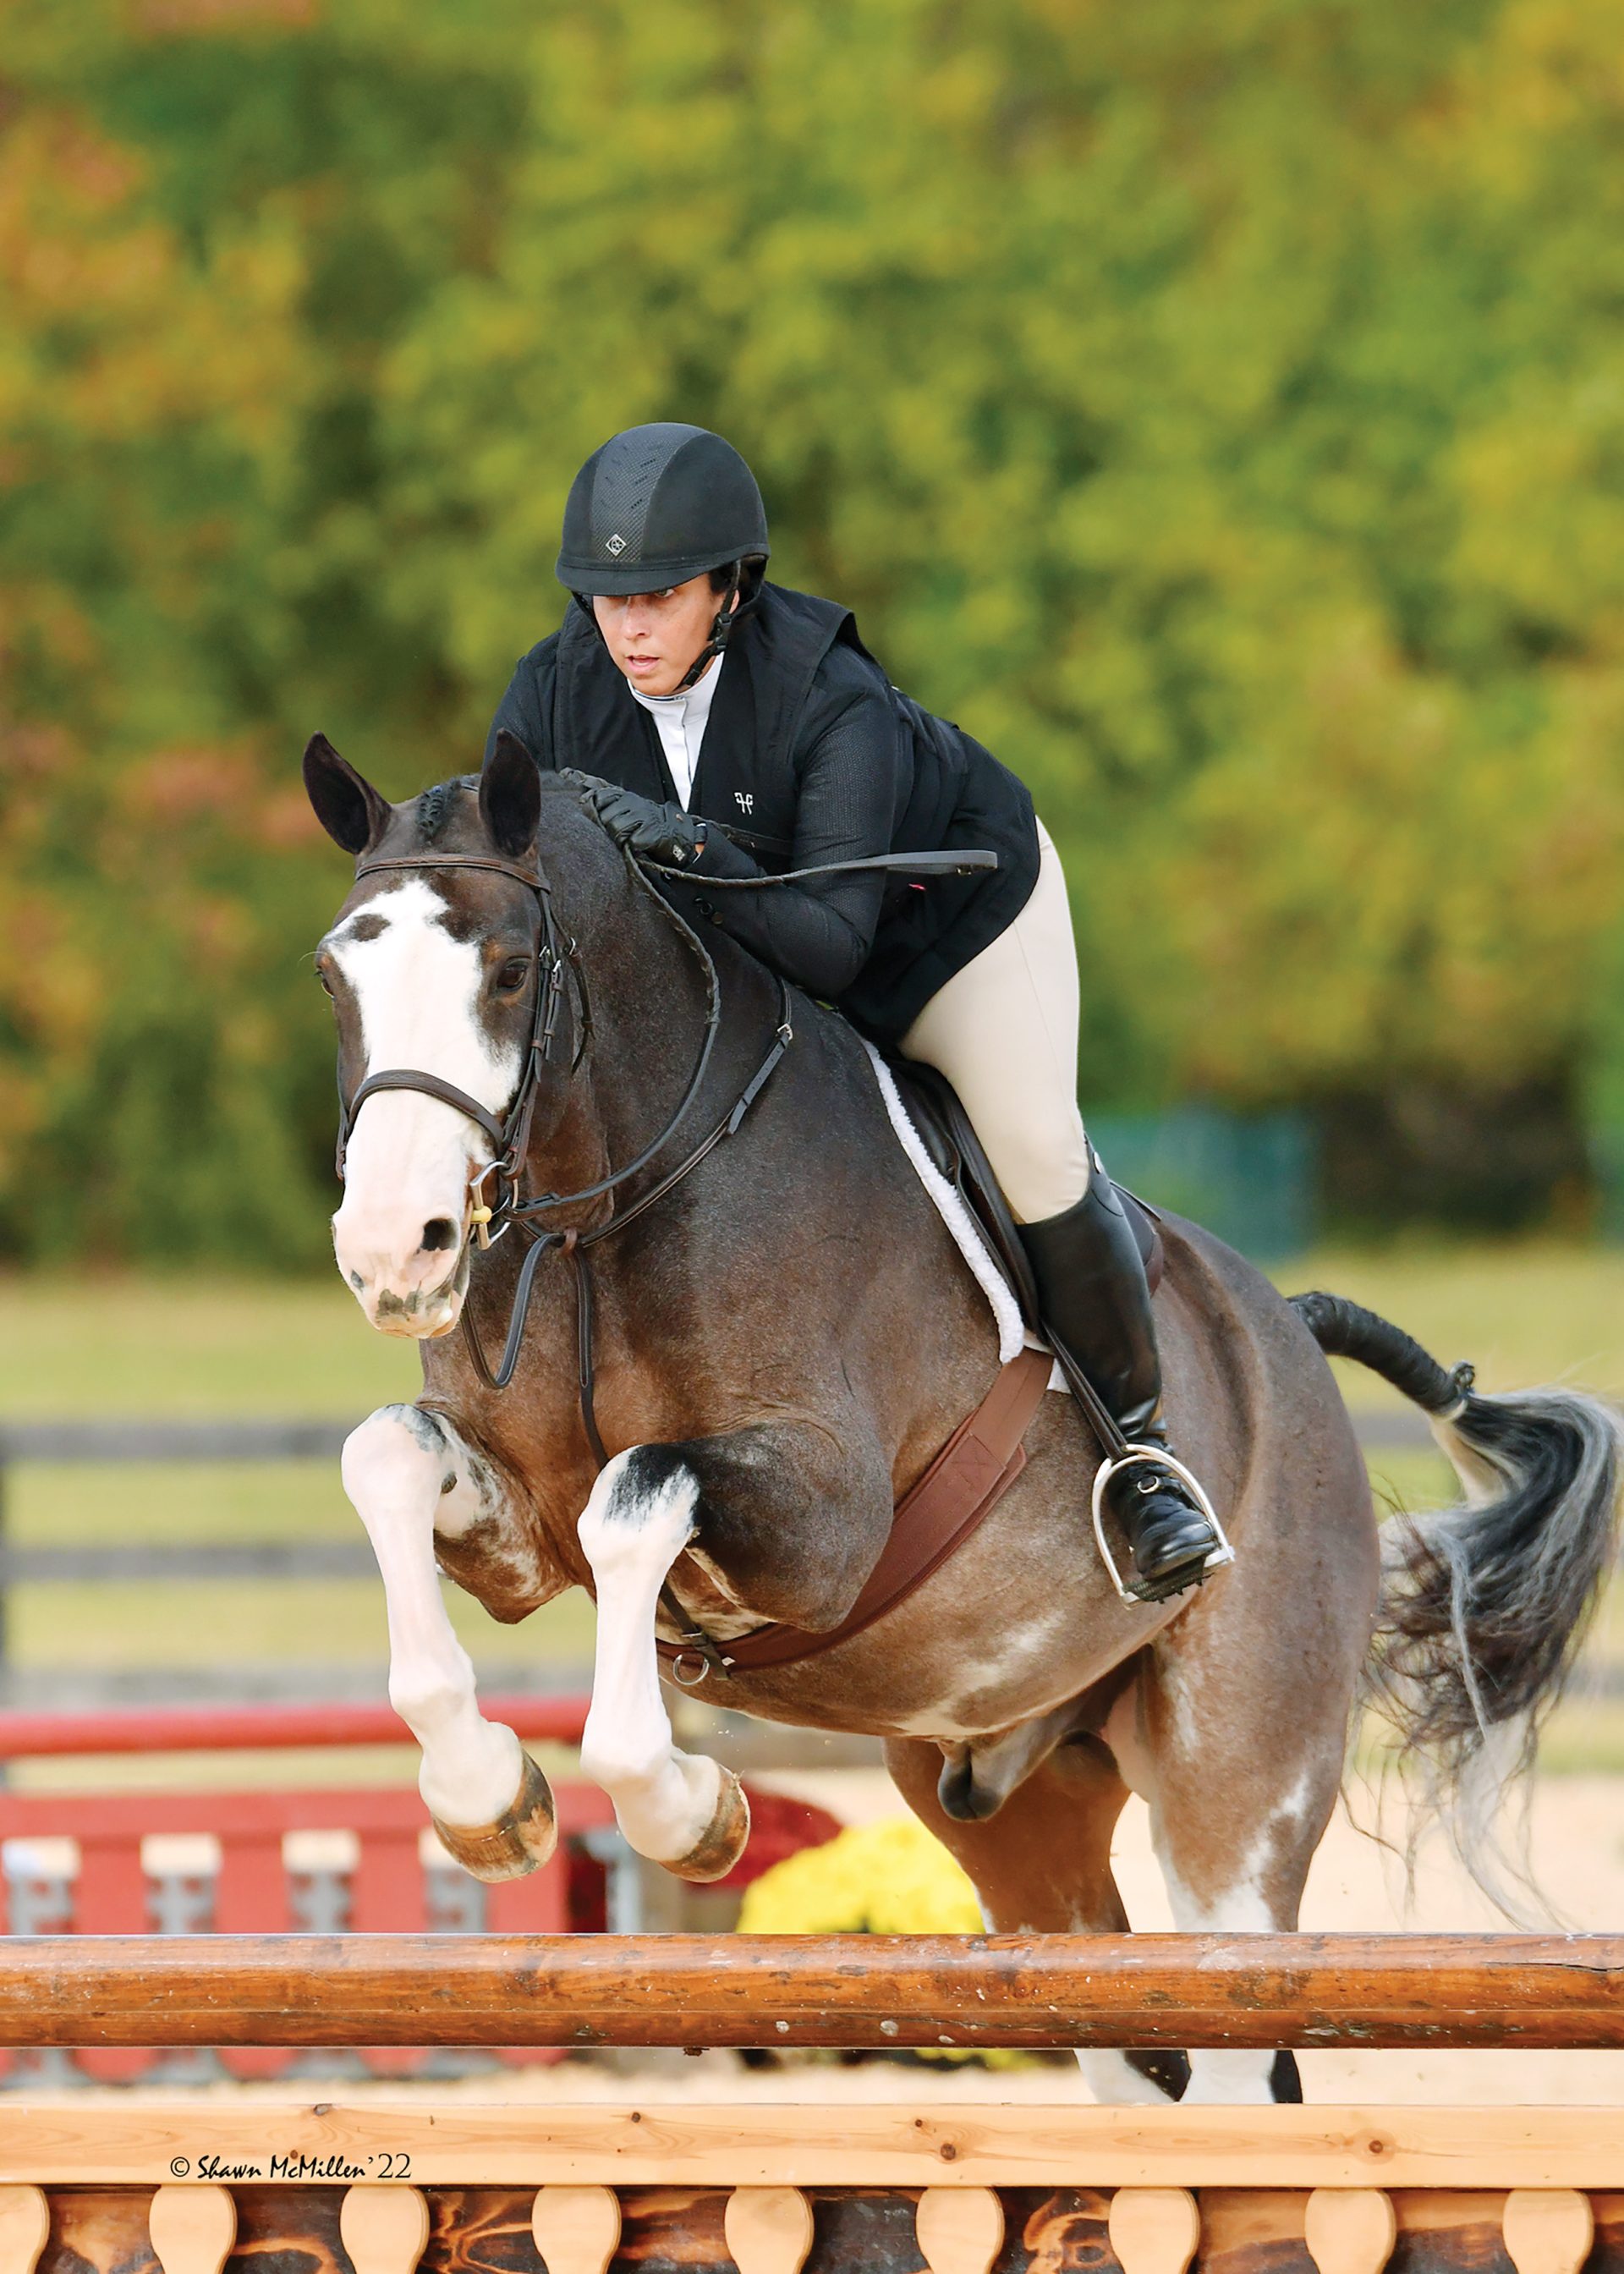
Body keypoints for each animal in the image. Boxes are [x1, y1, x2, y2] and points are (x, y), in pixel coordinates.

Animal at [304, 731, 1622, 2106]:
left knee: (1232, 2041)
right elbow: (386, 1457)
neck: (604, 1208)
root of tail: (1290, 1334)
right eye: (333, 973)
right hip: (1017, 1820)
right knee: (1125, 2045)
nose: (393, 1253)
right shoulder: (516, 1528)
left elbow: (635, 1502)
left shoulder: (825, 1523)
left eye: (511, 972)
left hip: (1241, 1788)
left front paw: (687, 1810)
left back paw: (1161, 1514)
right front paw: (484, 1797)